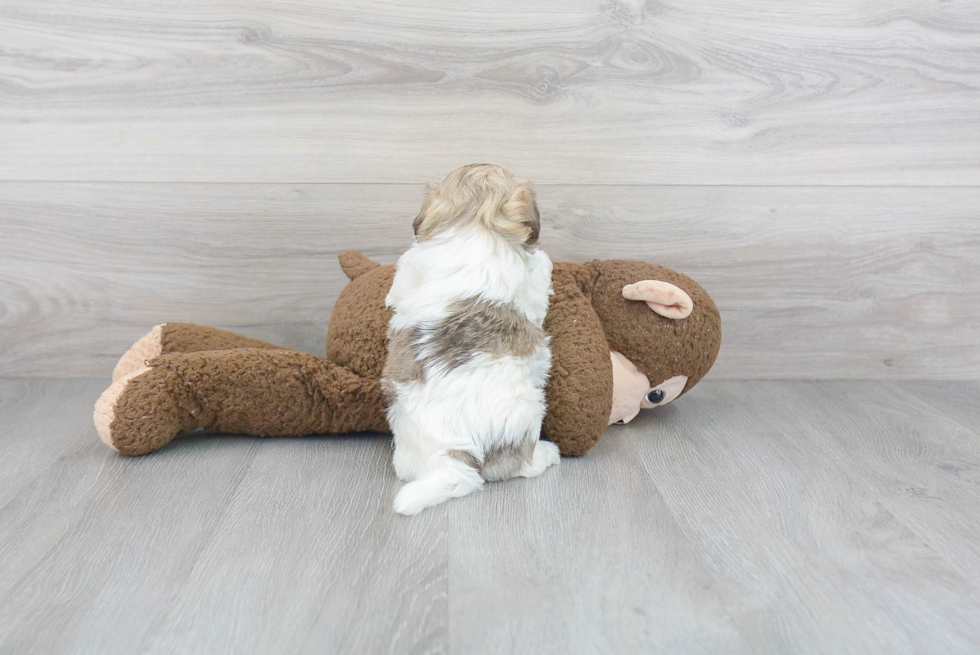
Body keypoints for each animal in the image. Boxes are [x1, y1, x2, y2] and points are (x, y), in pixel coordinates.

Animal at [382, 161, 560, 516]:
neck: (476, 220)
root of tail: (454, 453)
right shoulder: (531, 290)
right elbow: (540, 276)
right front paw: (546, 260)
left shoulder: (408, 266)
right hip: (529, 412)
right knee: (522, 464)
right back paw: (547, 454)